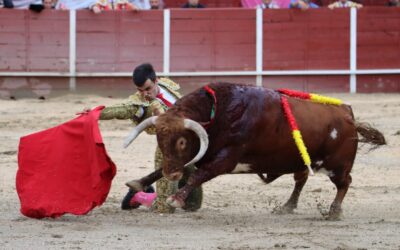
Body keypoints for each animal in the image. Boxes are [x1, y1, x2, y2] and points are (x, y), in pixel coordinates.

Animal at [124, 82, 384, 219]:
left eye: (181, 142)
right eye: (159, 138)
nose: (173, 175)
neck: (219, 113)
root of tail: (348, 114)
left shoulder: (226, 158)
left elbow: (198, 175)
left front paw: (176, 198)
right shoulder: (204, 153)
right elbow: (168, 169)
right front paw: (138, 182)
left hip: (337, 164)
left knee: (344, 183)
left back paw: (333, 211)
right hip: (301, 160)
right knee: (301, 180)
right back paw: (287, 206)